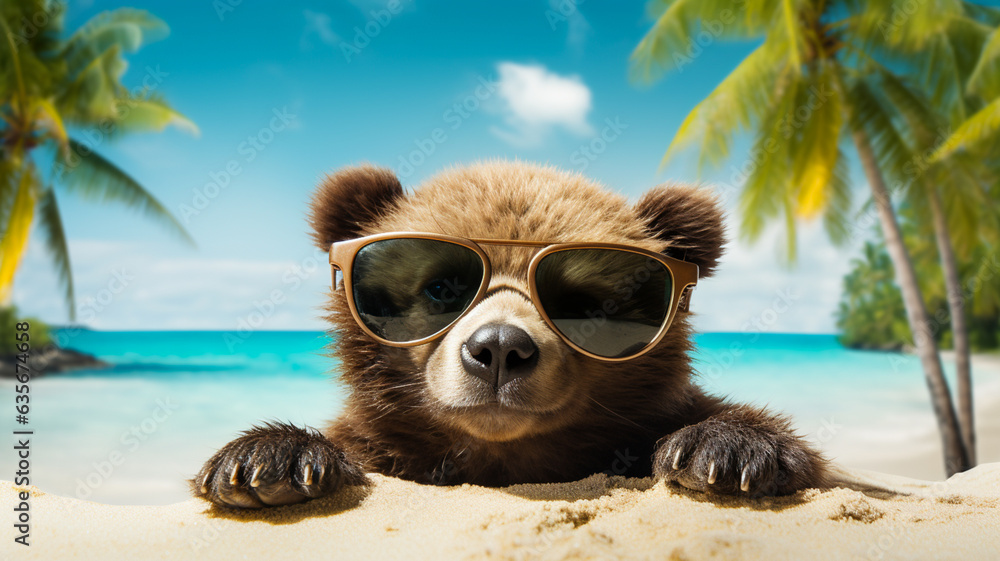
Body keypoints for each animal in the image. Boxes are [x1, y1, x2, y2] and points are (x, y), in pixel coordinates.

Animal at [192, 161, 828, 509]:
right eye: (443, 287)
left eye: (579, 302)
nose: (498, 348)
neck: (507, 463)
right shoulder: (384, 442)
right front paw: (268, 461)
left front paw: (727, 449)